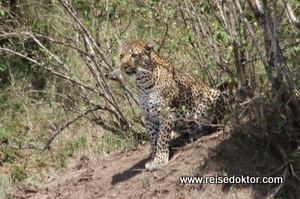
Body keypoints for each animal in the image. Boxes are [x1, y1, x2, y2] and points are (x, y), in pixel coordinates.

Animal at [119, 40, 227, 171]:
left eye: (134, 55)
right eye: (121, 56)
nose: (124, 66)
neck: (143, 82)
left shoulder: (166, 115)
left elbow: (161, 139)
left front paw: (159, 161)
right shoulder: (149, 118)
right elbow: (153, 140)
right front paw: (153, 158)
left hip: (214, 94)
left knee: (216, 123)